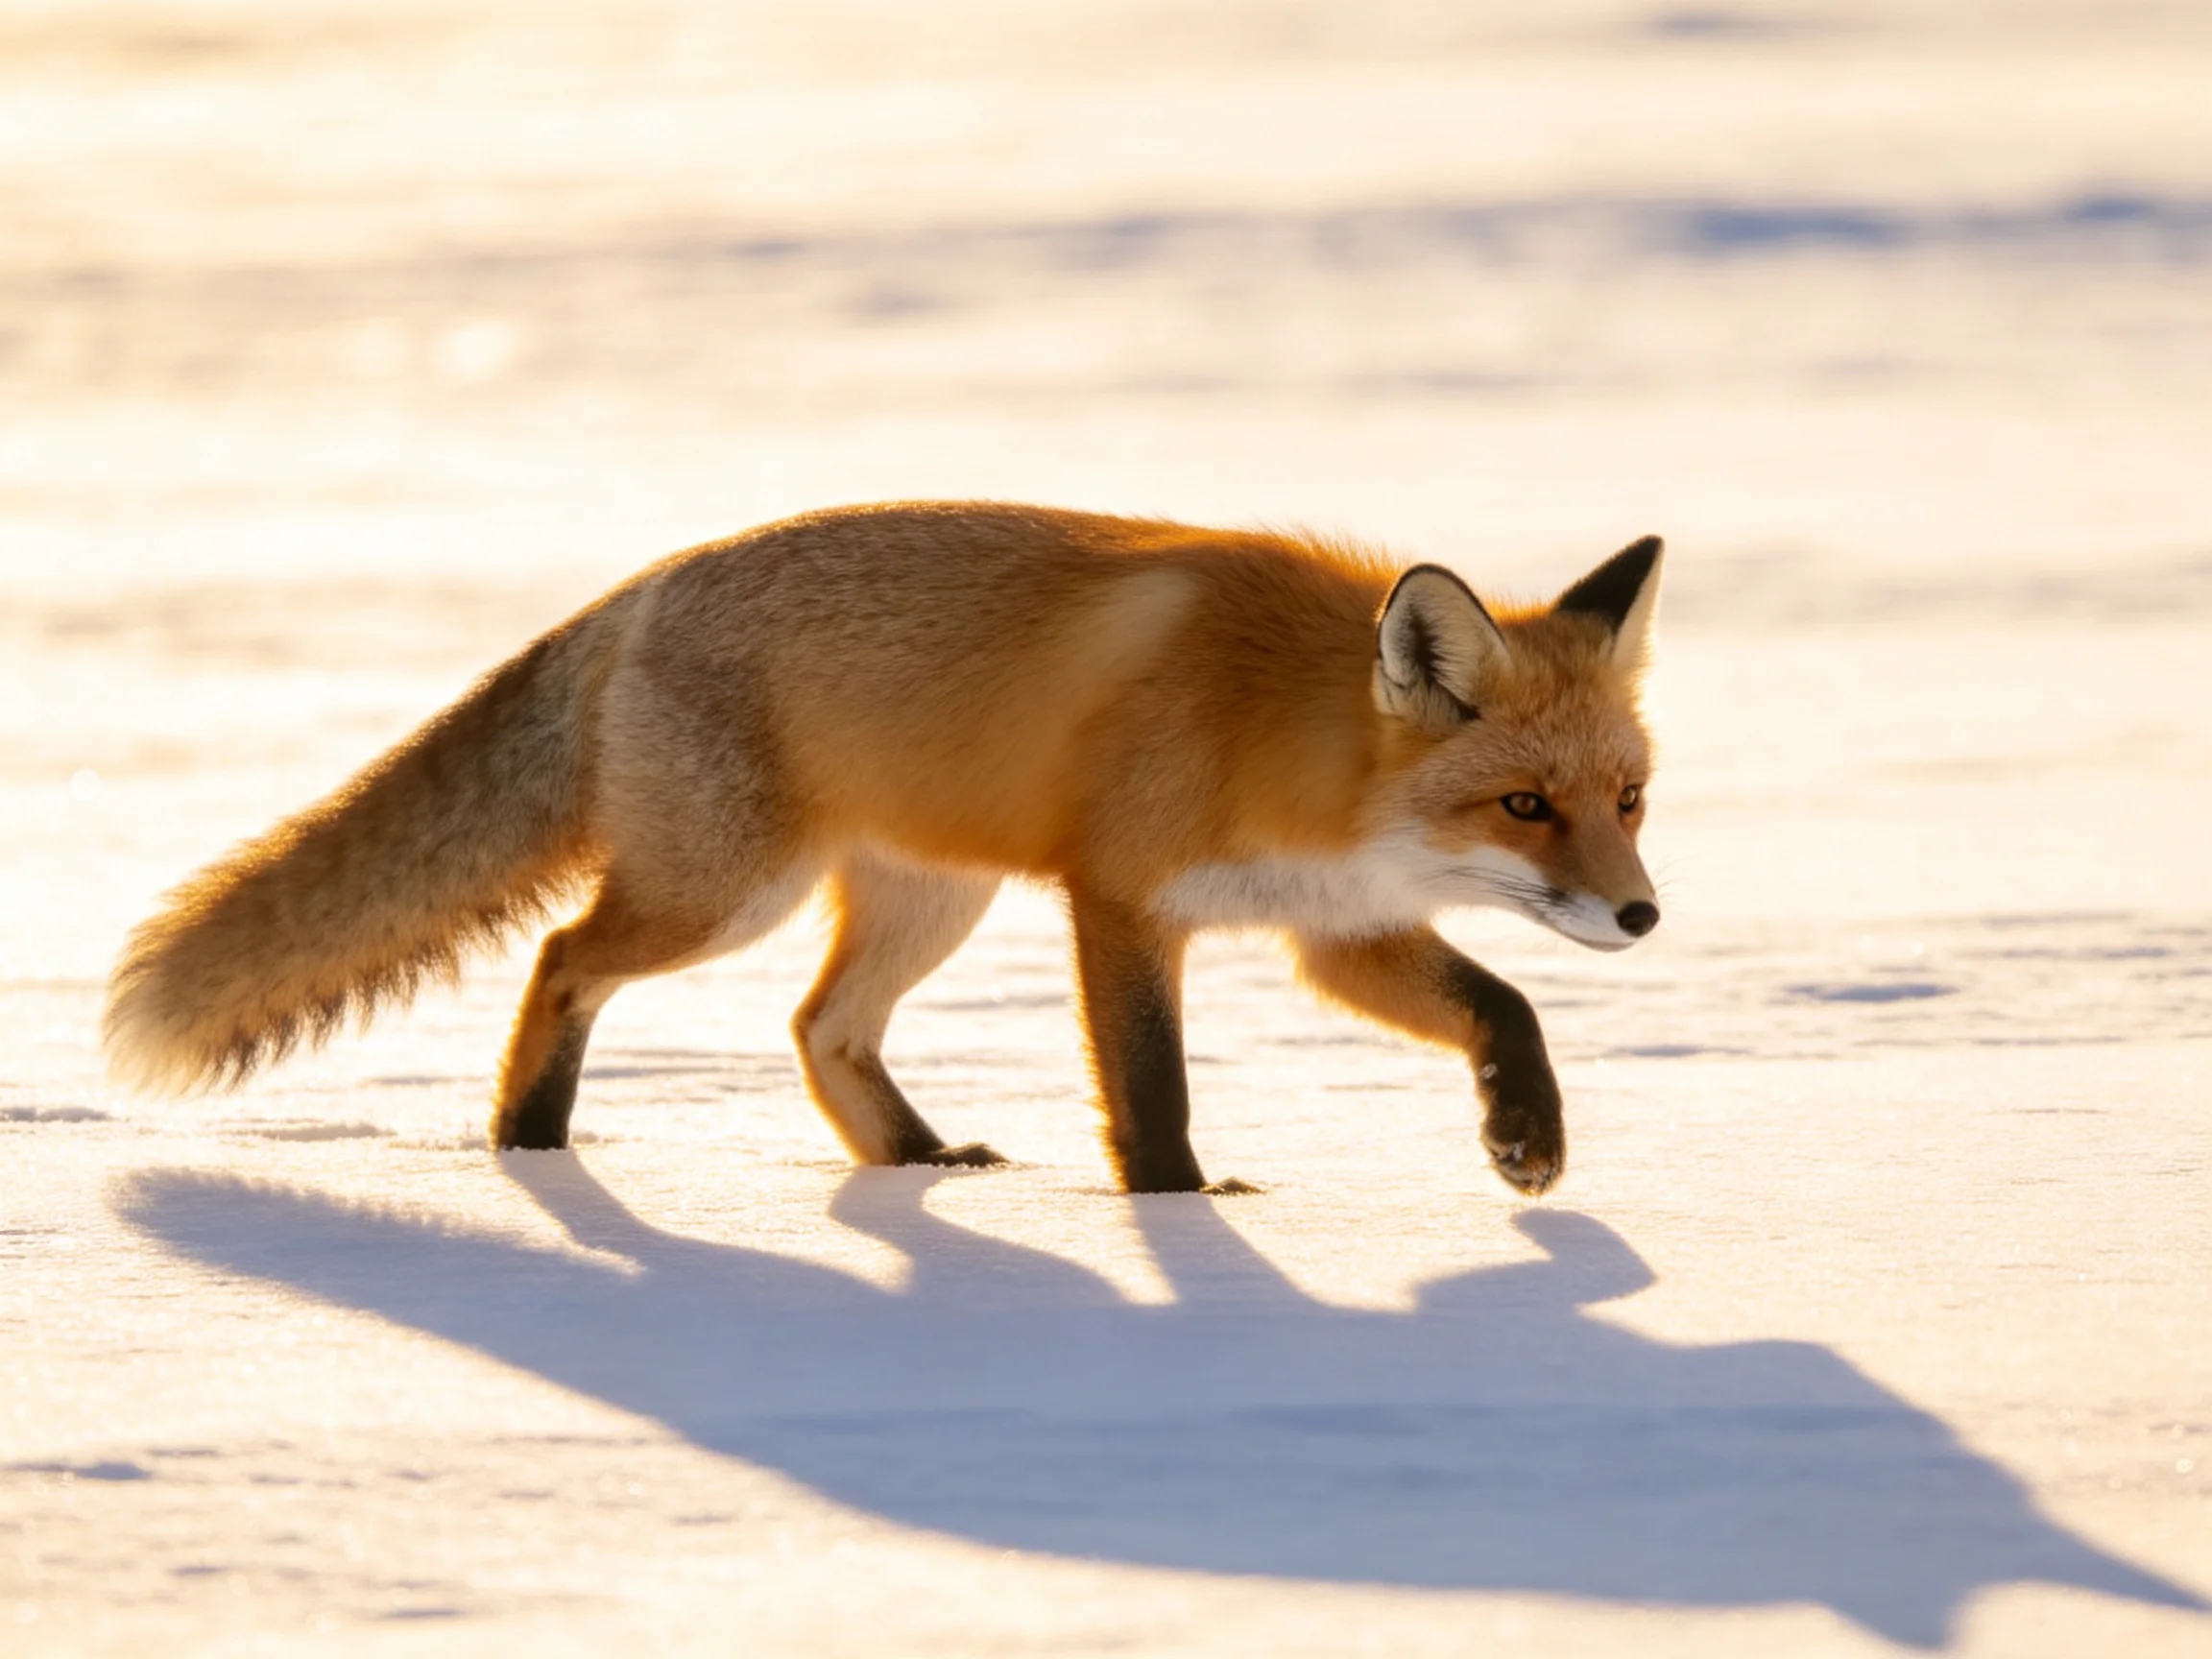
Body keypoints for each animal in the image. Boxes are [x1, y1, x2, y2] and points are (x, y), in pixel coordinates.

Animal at [104, 502, 1663, 1195]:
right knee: (562, 957)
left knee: (817, 1027)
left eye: (1631, 798)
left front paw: (1527, 1137)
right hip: (725, 895)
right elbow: (1149, 1091)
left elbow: (1505, 1007)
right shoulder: (1121, 901)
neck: (1282, 741)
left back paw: (916, 1163)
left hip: (930, 904)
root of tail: (636, 586)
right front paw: (1177, 1218)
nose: (1644, 919)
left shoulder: (1328, 929)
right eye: (1527, 807)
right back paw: (529, 1149)